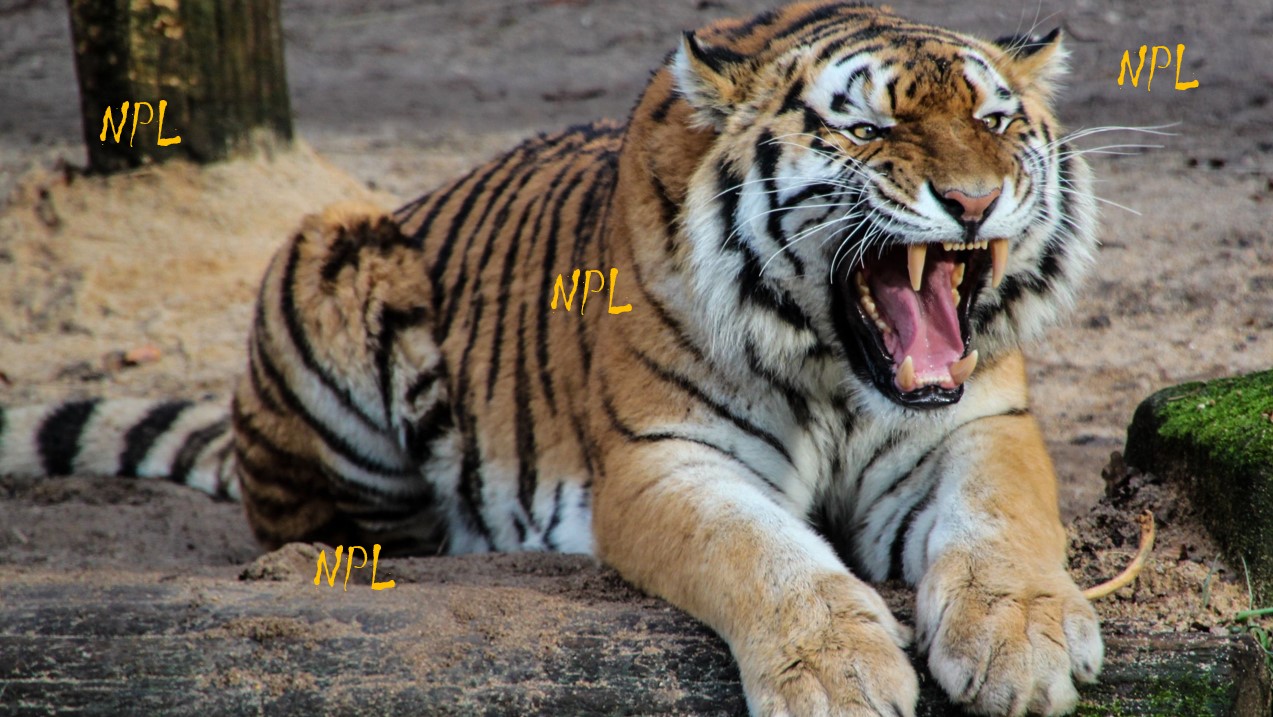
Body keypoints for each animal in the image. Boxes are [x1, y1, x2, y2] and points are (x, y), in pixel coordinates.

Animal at [0, 2, 1107, 715]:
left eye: (995, 120)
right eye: (868, 126)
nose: (973, 201)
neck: (838, 369)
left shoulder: (978, 423)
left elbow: (1004, 520)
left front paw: (1021, 641)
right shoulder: (663, 460)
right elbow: (763, 554)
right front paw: (839, 675)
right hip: (330, 246)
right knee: (324, 524)